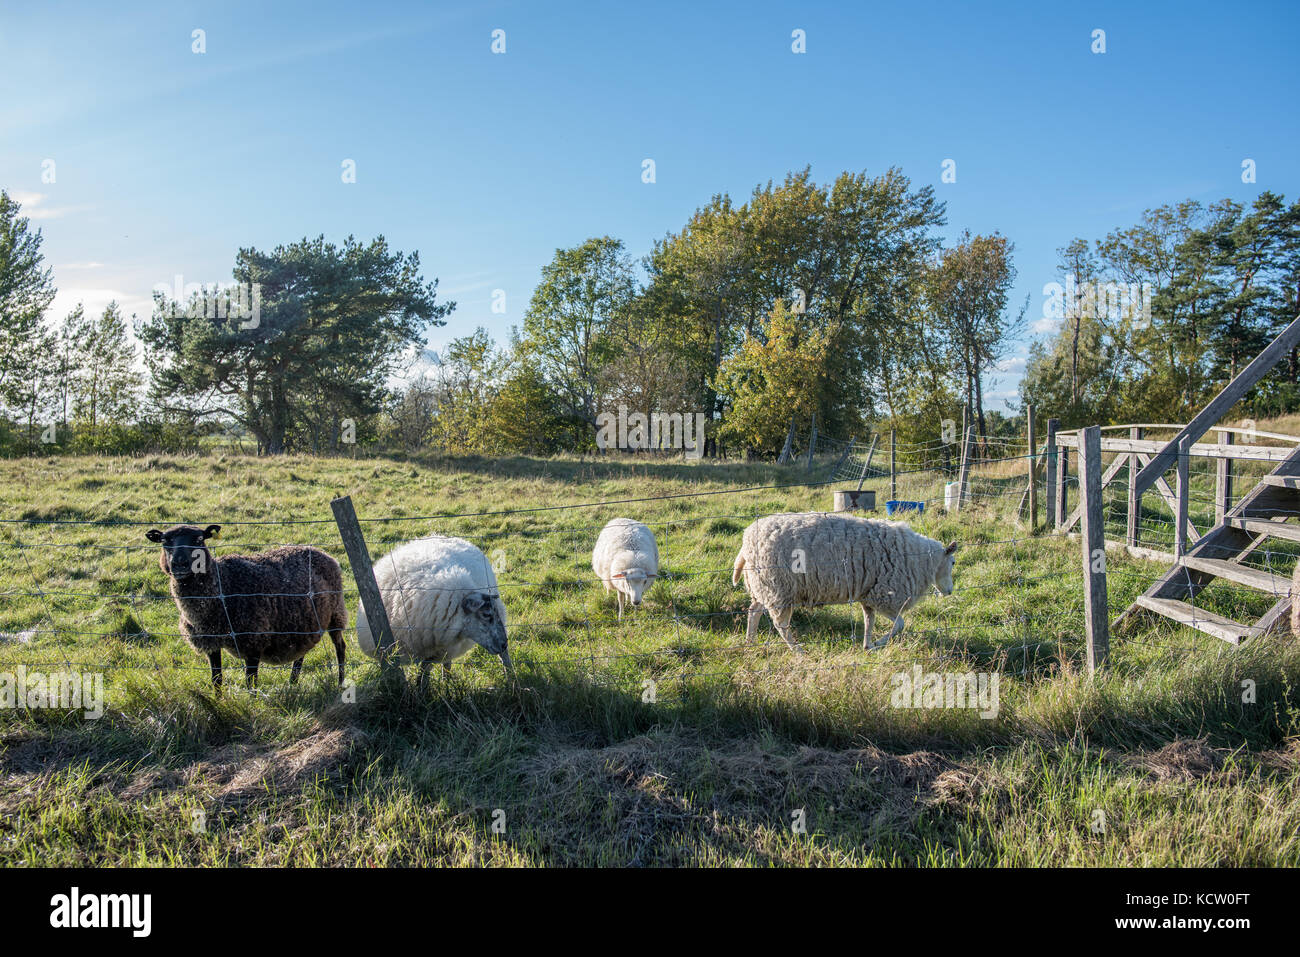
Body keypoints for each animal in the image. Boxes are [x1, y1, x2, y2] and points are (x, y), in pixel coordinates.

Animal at [361, 538, 517, 681]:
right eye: (486, 614)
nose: (504, 644)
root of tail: (457, 538)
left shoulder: (433, 651)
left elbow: (423, 676)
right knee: (447, 662)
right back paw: (446, 681)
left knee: (504, 657)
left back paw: (511, 678)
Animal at [733, 512, 956, 655]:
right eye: (953, 562)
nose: (950, 591)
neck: (920, 558)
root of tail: (746, 543)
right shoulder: (885, 595)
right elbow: (899, 625)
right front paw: (878, 643)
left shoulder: (869, 594)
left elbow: (869, 621)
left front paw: (868, 646)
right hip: (778, 589)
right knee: (781, 625)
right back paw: (798, 650)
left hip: (763, 587)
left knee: (754, 611)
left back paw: (750, 642)